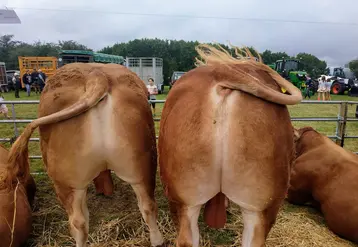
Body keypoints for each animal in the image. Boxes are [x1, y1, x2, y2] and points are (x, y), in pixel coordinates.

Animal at [7, 63, 164, 247]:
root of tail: (96, 76)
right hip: (141, 167)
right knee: (148, 206)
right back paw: (157, 240)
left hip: (66, 181)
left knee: (79, 221)